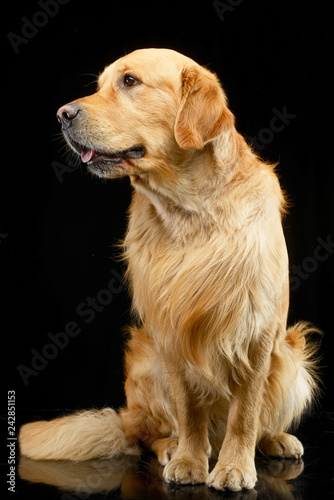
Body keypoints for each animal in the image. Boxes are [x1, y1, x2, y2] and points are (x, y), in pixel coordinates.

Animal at [18, 47, 320, 492]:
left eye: (129, 81)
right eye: (100, 84)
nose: (62, 114)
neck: (191, 212)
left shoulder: (257, 334)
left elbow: (246, 413)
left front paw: (235, 465)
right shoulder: (171, 330)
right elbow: (188, 408)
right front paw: (190, 461)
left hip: (290, 358)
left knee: (255, 420)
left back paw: (274, 440)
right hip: (146, 363)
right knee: (145, 433)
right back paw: (170, 447)